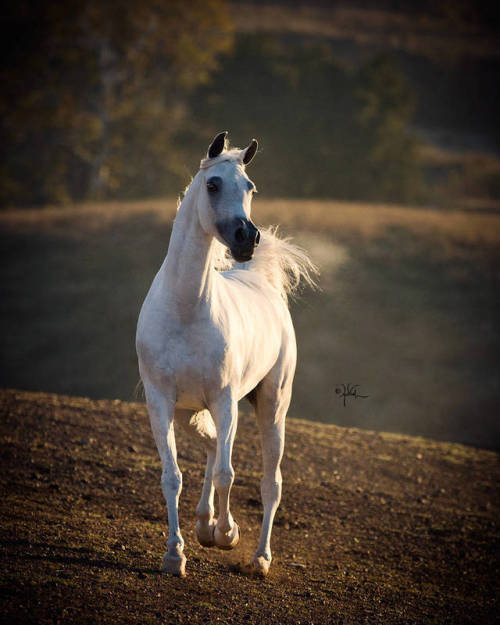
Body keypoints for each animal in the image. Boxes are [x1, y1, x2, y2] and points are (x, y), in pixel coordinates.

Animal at [136, 130, 316, 576]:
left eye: (250, 187)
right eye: (213, 184)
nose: (247, 238)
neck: (186, 310)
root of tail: (261, 279)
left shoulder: (224, 399)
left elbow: (227, 474)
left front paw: (226, 534)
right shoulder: (161, 402)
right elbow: (172, 476)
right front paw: (175, 555)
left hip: (271, 405)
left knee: (270, 482)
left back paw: (259, 558)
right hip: (188, 413)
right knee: (214, 446)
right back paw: (203, 525)